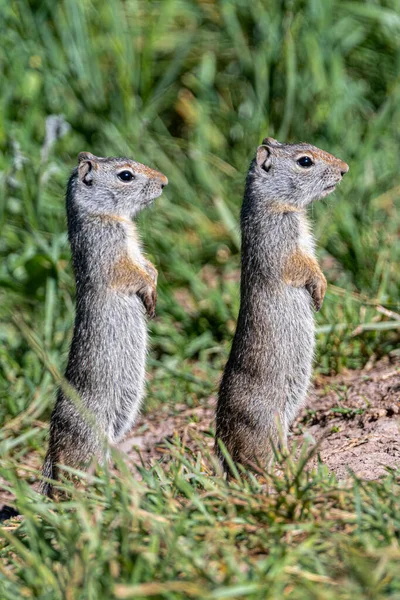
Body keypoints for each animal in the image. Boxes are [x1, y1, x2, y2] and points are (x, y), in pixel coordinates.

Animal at [43, 151, 168, 496]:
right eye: (125, 175)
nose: (165, 181)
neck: (109, 216)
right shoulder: (111, 253)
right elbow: (133, 272)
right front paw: (150, 295)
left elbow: (149, 266)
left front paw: (154, 295)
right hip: (87, 437)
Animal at [214, 137, 348, 474]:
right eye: (305, 161)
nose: (344, 168)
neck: (278, 204)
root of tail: (224, 455)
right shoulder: (283, 247)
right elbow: (304, 268)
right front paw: (320, 291)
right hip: (264, 422)